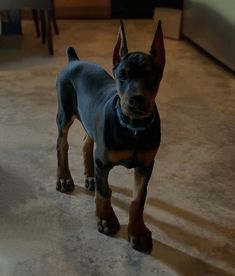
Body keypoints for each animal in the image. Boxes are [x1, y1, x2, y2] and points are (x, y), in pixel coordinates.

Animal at [55, 20, 165, 251]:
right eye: (122, 76)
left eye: (152, 76)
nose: (136, 100)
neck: (133, 129)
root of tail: (74, 60)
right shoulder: (103, 162)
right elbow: (104, 192)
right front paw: (106, 219)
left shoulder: (146, 165)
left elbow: (138, 199)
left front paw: (138, 231)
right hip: (64, 114)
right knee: (62, 145)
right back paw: (64, 178)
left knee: (87, 142)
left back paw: (90, 177)